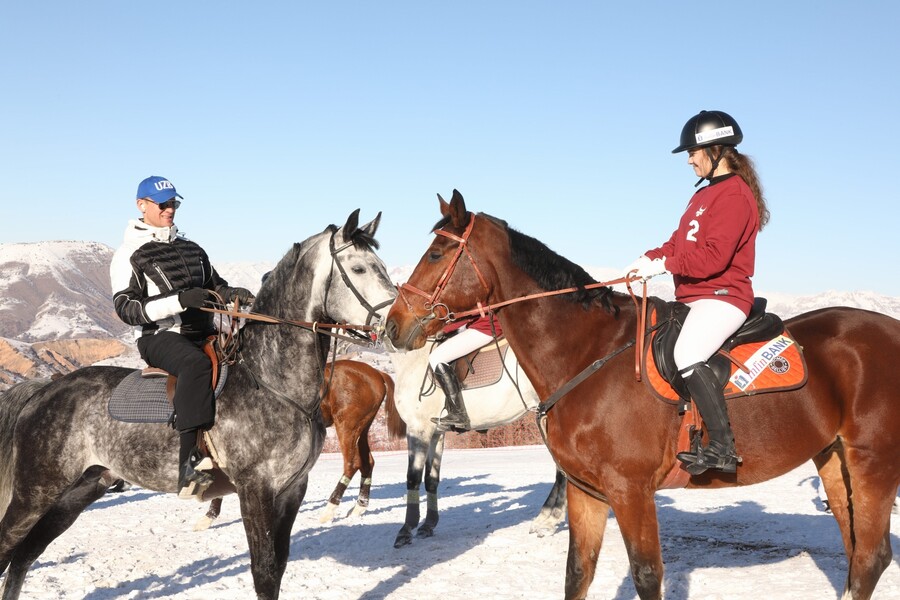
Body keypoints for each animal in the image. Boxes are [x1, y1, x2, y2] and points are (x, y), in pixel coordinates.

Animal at [199, 356, 406, 528]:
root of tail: (377, 373)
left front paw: (209, 515)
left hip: (347, 426)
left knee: (352, 463)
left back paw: (330, 509)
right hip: (362, 429)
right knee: (367, 462)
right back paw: (359, 506)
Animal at [386, 340, 568, 548]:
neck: (412, 358)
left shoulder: (418, 428)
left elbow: (413, 477)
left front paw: (406, 529)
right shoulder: (436, 433)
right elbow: (431, 479)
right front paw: (428, 525)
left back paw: (550, 519)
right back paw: (545, 518)